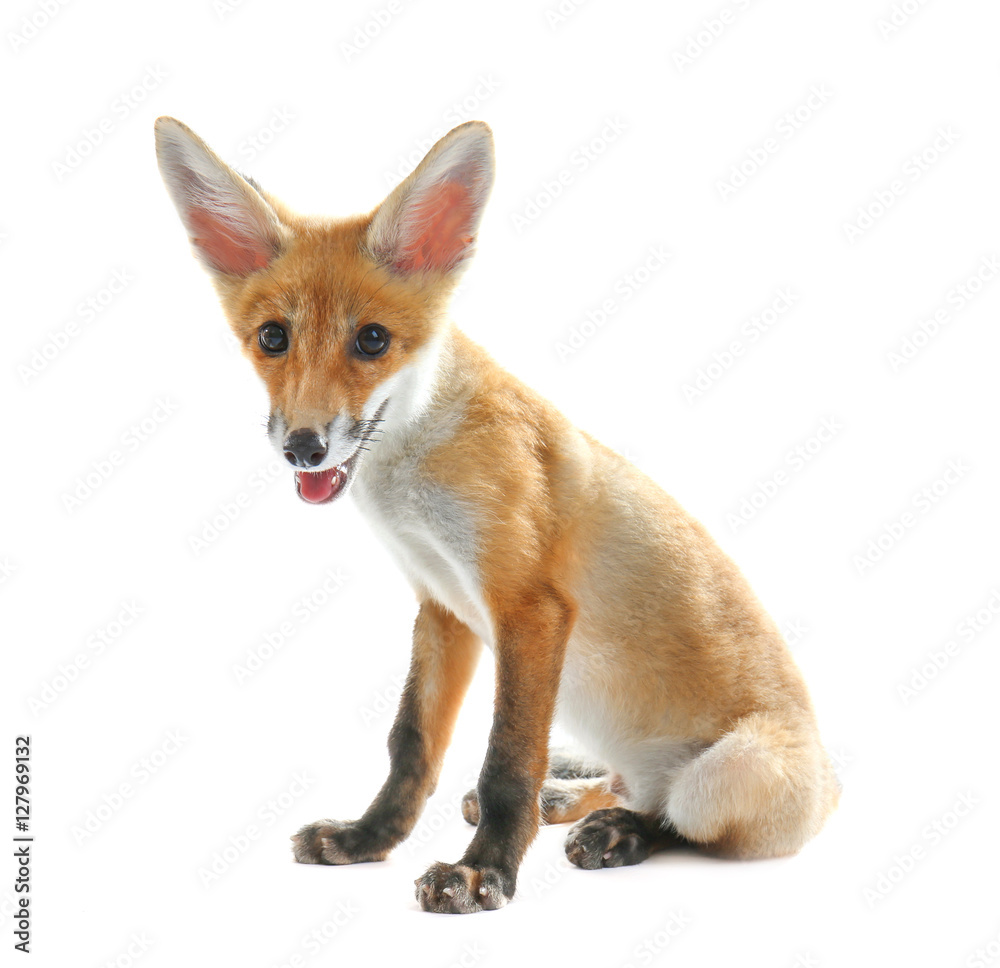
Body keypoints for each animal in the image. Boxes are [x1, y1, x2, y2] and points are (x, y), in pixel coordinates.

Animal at [154, 116, 840, 914]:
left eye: (372, 340)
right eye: (272, 338)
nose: (304, 446)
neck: (412, 482)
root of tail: (837, 785)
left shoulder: (529, 608)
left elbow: (506, 762)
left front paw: (483, 874)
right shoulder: (442, 606)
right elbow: (411, 747)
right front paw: (367, 840)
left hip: (726, 774)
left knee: (675, 816)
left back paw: (619, 832)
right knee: (615, 779)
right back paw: (571, 797)